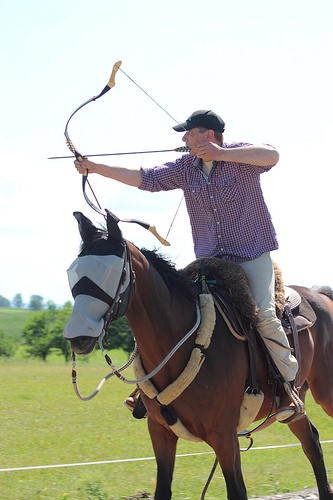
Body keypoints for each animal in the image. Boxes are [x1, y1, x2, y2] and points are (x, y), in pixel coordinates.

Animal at [63, 211, 332, 500]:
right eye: (72, 271)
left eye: (113, 272)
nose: (78, 336)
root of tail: (320, 295)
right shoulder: (160, 432)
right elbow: (162, 489)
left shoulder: (224, 437)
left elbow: (237, 490)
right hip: (295, 409)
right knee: (312, 443)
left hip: (324, 394)